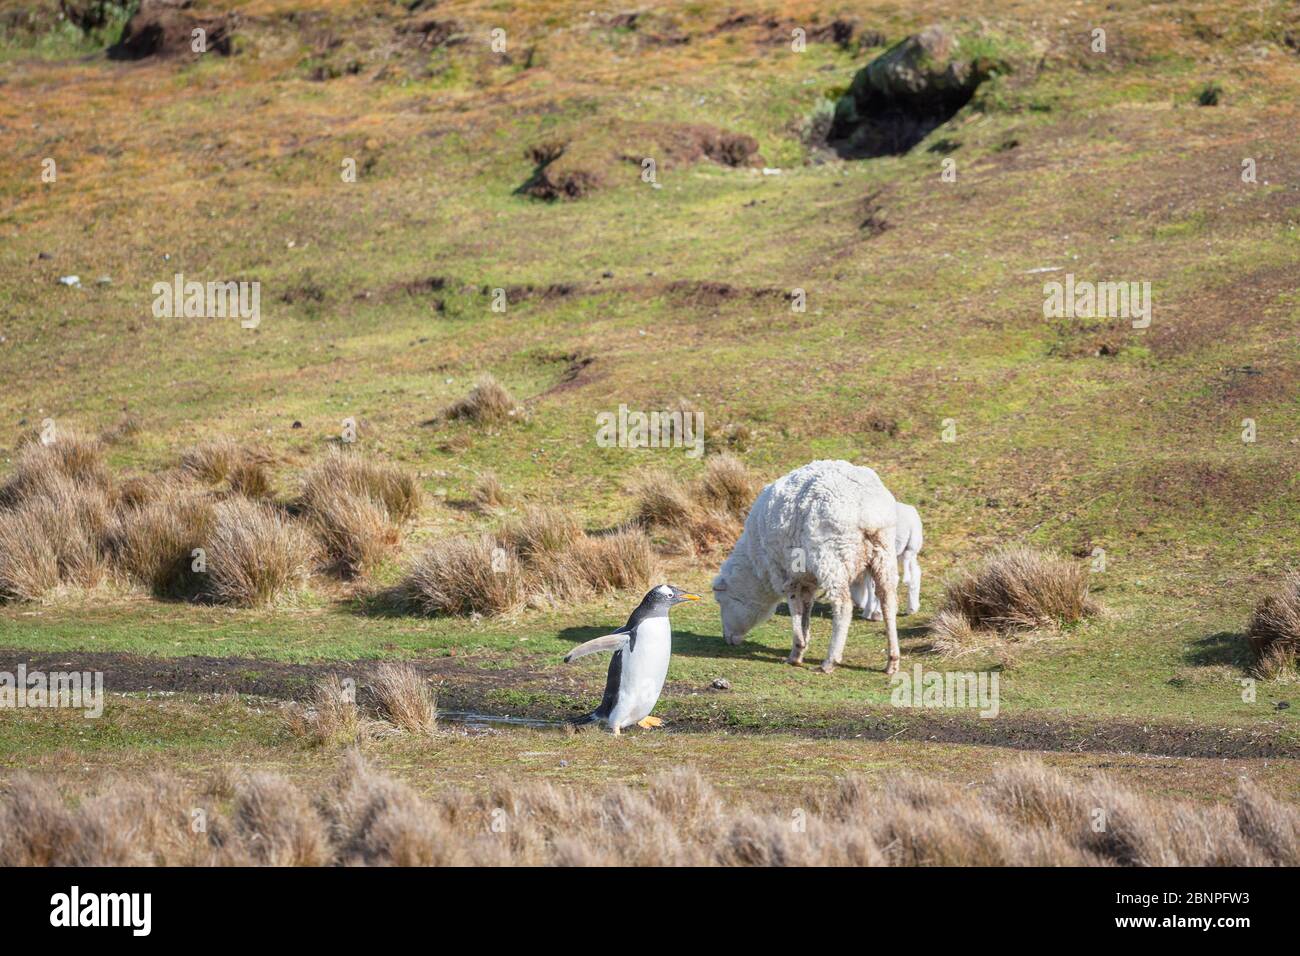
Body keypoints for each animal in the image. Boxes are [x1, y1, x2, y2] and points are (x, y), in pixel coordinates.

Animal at [707, 463, 899, 671]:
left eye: (720, 601)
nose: (727, 638)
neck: (756, 568)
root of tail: (868, 511)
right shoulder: (807, 579)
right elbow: (805, 611)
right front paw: (802, 646)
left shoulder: (787, 576)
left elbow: (796, 611)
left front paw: (796, 653)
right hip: (884, 554)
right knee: (888, 600)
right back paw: (892, 661)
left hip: (831, 556)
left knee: (843, 605)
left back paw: (829, 662)